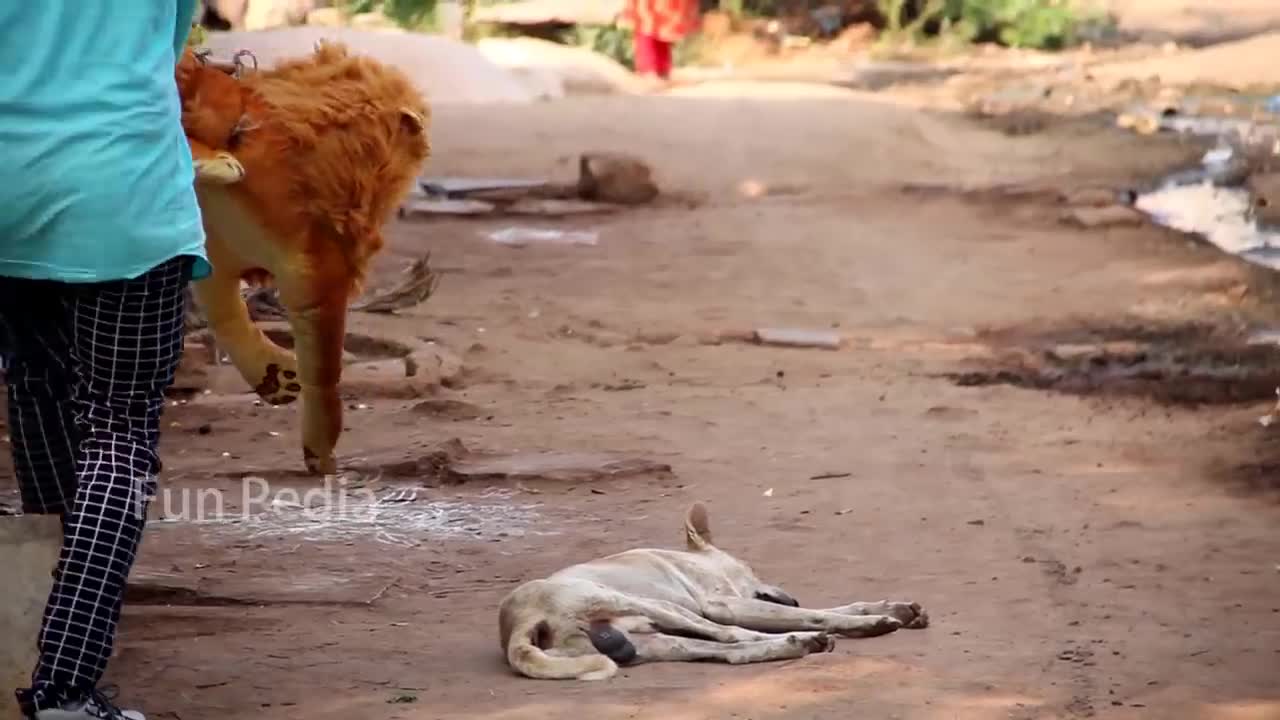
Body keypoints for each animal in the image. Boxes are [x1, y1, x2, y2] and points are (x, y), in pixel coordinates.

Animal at [499, 499, 931, 676]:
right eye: (752, 568)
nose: (792, 594)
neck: (693, 560)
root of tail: (519, 624)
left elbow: (836, 607)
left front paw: (891, 609)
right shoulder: (722, 603)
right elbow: (817, 613)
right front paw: (872, 621)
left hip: (652, 643)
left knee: (731, 652)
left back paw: (798, 645)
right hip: (657, 608)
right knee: (733, 636)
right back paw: (803, 639)